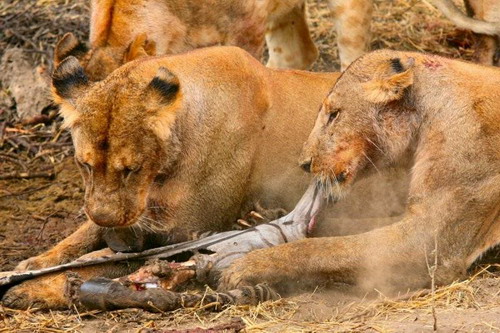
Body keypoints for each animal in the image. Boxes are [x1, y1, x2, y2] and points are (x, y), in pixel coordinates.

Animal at [221, 49, 500, 294]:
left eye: (334, 115)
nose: (304, 163)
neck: (426, 113)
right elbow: (346, 228)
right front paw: (262, 222)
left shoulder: (433, 241)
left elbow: (327, 249)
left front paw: (248, 265)